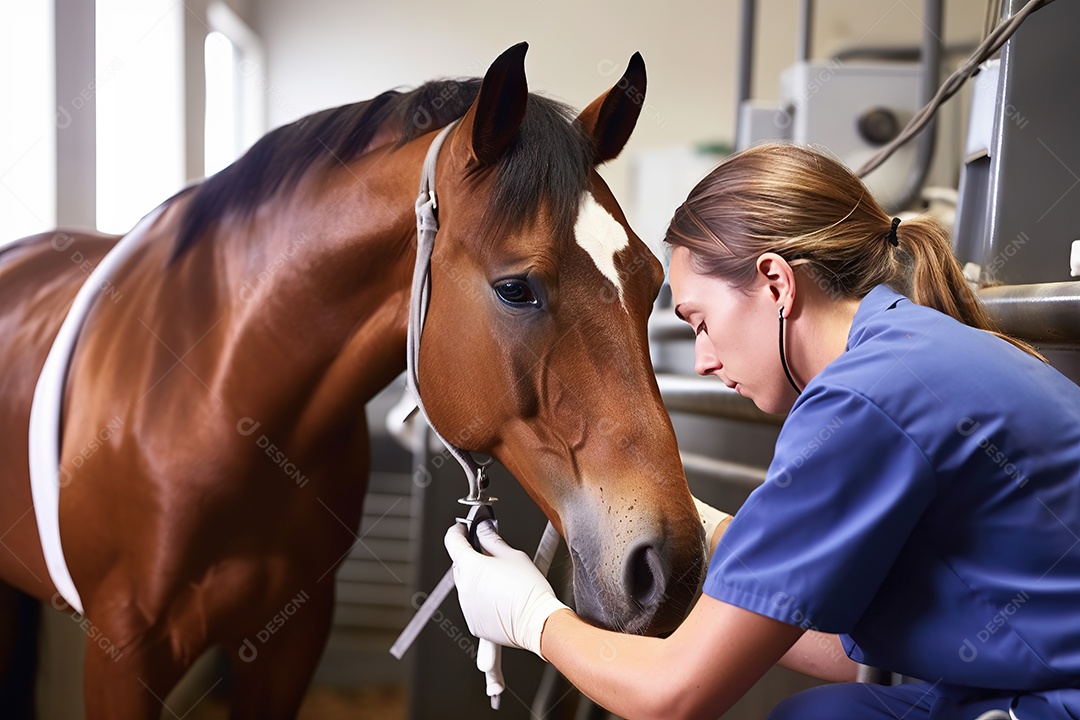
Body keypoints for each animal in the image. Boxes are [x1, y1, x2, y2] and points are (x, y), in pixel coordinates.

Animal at [0, 42, 706, 718]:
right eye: (515, 289)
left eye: (651, 282)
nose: (671, 567)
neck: (215, 398)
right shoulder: (123, 654)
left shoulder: (291, 637)